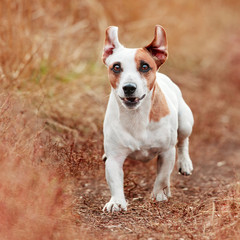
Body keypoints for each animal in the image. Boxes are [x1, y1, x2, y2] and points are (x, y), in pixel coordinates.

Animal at [101, 24, 193, 212]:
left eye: (144, 66)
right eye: (116, 67)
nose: (129, 87)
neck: (136, 116)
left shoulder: (166, 152)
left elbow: (162, 177)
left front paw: (158, 195)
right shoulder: (115, 157)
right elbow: (115, 180)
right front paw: (116, 202)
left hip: (185, 122)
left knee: (183, 141)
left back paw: (185, 164)